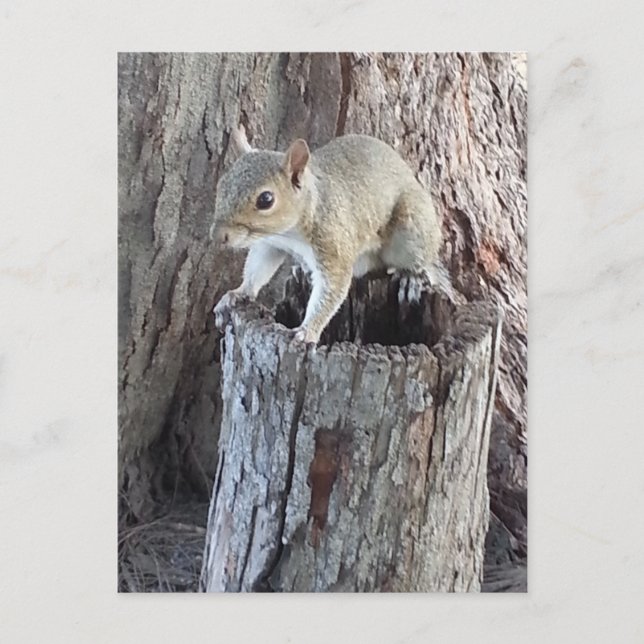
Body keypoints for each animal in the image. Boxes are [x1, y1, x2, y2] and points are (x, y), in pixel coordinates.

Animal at [211, 125, 452, 344]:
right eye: (221, 184)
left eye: (266, 199)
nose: (219, 236)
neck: (291, 231)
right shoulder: (271, 243)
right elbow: (258, 268)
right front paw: (238, 294)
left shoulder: (332, 242)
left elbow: (331, 288)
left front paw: (307, 331)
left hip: (412, 229)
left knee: (416, 260)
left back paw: (411, 278)